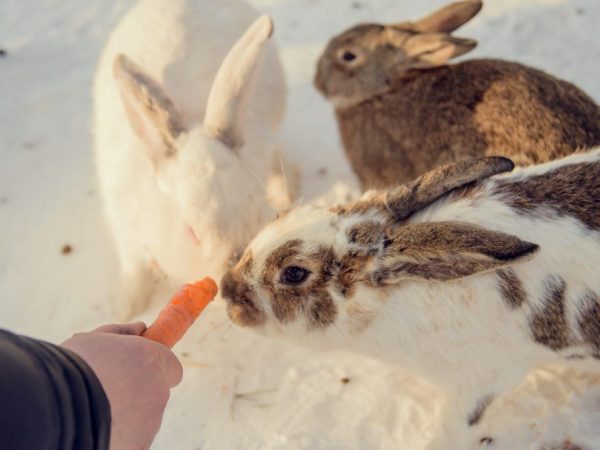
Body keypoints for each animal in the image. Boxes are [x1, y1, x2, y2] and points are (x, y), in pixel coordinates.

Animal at [94, 0, 298, 320]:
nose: (232, 276)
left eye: (256, 212)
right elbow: (133, 266)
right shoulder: (124, 228)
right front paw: (125, 308)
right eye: (191, 232)